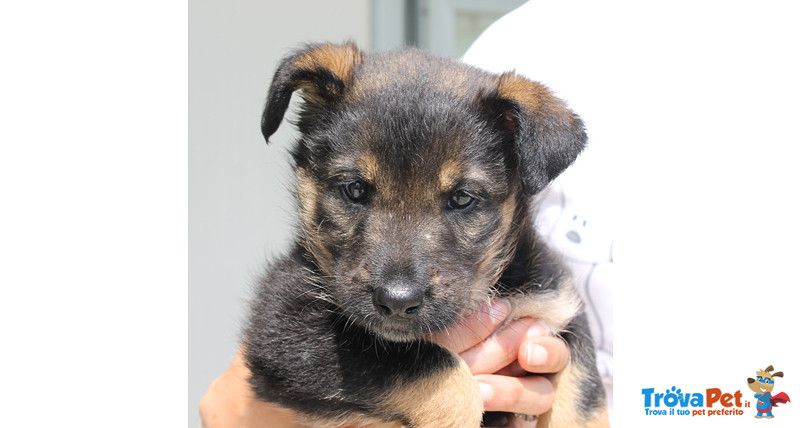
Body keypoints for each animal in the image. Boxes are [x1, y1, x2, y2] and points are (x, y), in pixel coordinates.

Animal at [244, 41, 608, 426]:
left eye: (462, 198)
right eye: (354, 189)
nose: (397, 301)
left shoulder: (558, 309)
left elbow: (584, 399)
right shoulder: (282, 322)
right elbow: (441, 373)